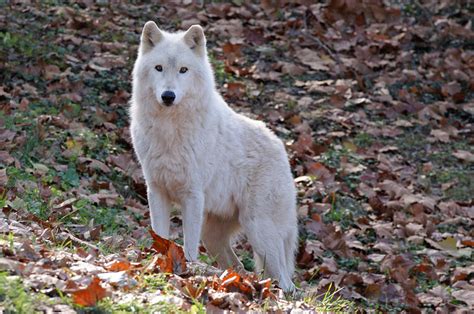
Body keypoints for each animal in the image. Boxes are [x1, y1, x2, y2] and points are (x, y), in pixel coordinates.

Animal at [130, 22, 298, 292]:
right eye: (159, 68)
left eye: (183, 70)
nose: (168, 96)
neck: (170, 130)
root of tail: (282, 149)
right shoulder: (156, 191)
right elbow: (161, 235)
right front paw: (159, 261)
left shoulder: (192, 196)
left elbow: (188, 246)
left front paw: (186, 271)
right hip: (214, 236)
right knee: (239, 268)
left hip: (259, 232)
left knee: (286, 281)